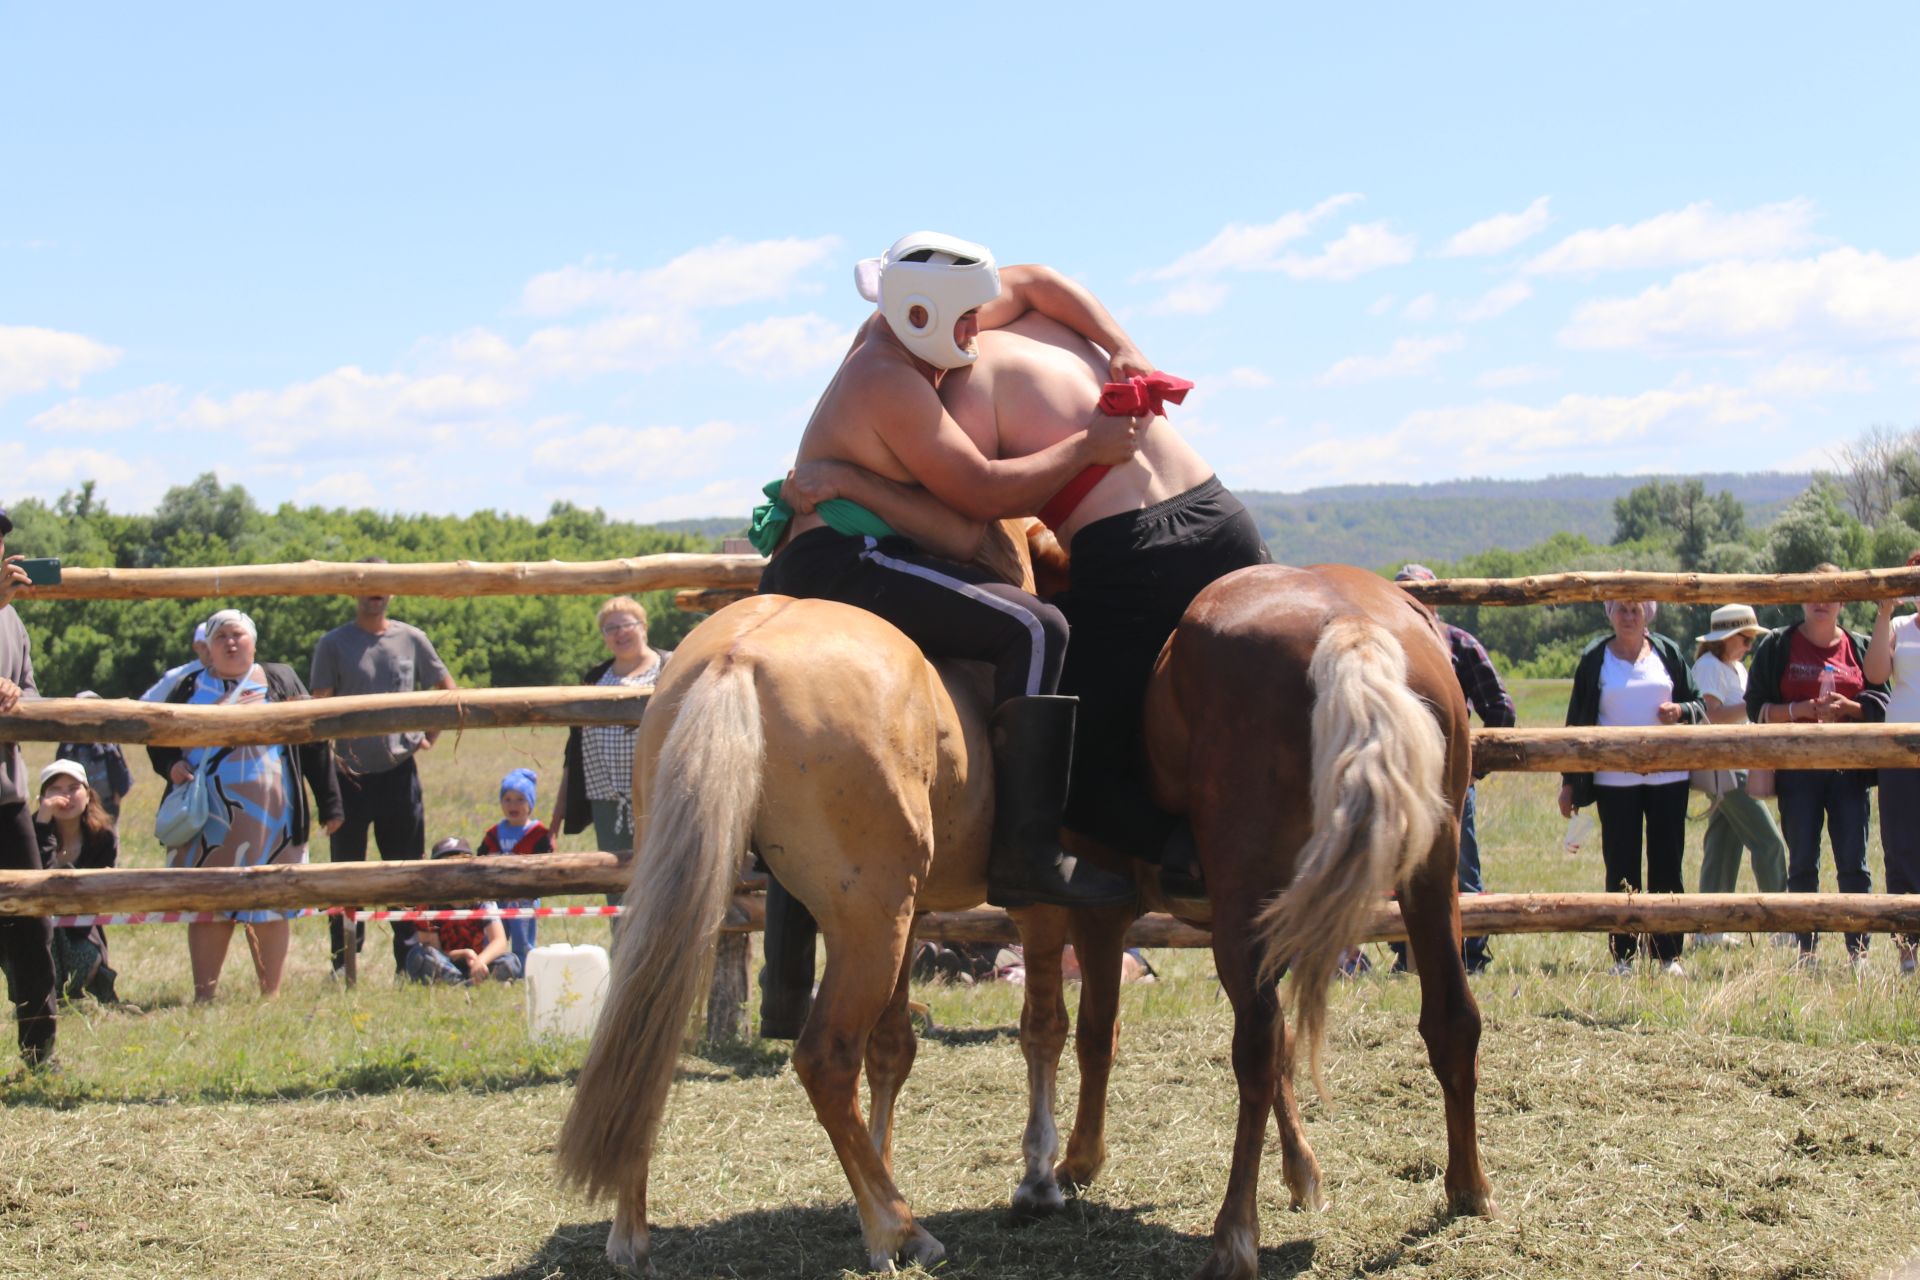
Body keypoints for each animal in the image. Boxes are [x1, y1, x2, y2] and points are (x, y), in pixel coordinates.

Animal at [1013, 564, 1489, 1280]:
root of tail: (1349, 622)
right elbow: (1288, 1044)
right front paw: (1304, 1175)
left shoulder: (1090, 914)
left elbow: (1093, 1033)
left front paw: (1078, 1160)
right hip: (1430, 880)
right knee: (1451, 1020)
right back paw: (1468, 1188)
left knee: (1255, 1053)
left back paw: (1234, 1234)